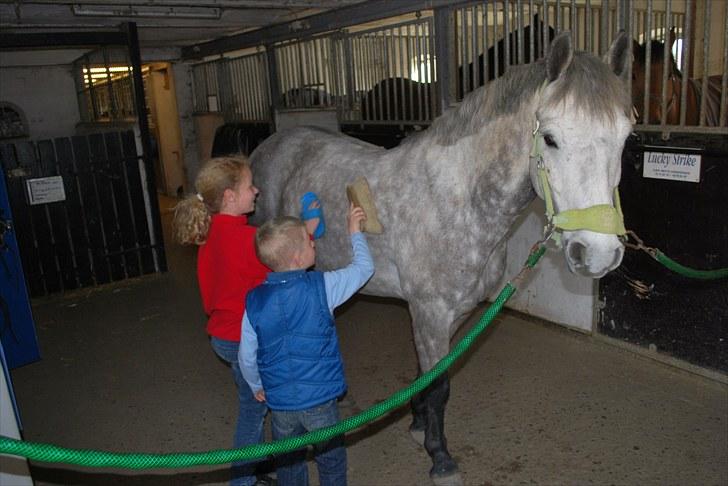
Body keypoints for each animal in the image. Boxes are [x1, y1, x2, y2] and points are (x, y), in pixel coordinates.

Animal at [249, 32, 632, 484]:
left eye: (626, 137)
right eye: (551, 139)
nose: (599, 254)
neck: (456, 199)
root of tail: (268, 145)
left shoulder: (456, 312)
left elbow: (425, 375)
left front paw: (417, 426)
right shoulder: (430, 311)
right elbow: (439, 385)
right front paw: (440, 457)